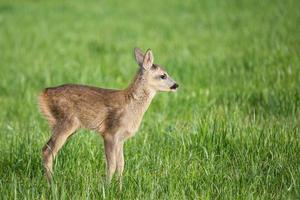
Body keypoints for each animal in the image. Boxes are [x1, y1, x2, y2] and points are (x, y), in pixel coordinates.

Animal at [39, 48, 179, 188]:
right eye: (163, 75)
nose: (176, 85)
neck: (131, 105)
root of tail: (43, 93)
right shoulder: (110, 132)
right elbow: (111, 165)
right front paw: (106, 187)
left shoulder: (121, 138)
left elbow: (121, 165)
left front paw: (120, 188)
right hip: (66, 121)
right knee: (47, 151)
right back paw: (52, 185)